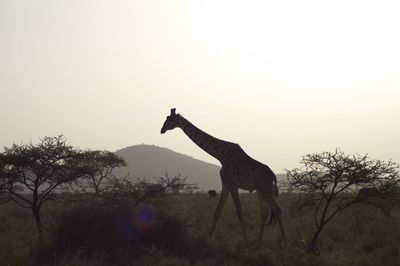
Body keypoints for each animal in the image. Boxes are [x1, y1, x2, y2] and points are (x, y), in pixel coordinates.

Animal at [159, 107, 284, 243]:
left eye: (171, 120)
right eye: (166, 118)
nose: (162, 130)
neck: (220, 155)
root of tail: (273, 176)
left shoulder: (233, 184)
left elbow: (239, 212)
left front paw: (245, 240)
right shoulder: (225, 184)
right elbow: (218, 211)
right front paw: (209, 238)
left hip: (266, 189)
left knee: (277, 209)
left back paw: (284, 240)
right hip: (260, 190)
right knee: (265, 212)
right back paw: (259, 241)